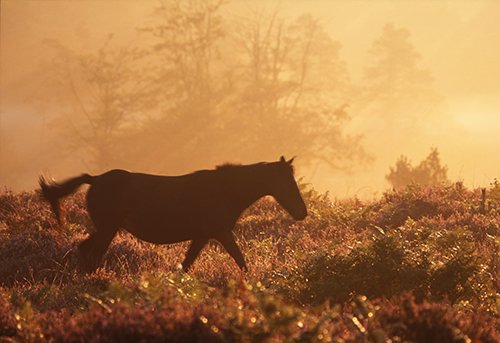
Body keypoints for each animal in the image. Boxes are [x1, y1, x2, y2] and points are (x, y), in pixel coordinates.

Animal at [39, 157, 306, 272]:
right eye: (287, 181)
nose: (302, 213)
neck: (225, 189)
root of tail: (94, 179)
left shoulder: (203, 236)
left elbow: (186, 264)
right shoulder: (220, 232)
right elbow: (240, 260)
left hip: (106, 228)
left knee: (84, 250)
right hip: (108, 228)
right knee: (93, 255)